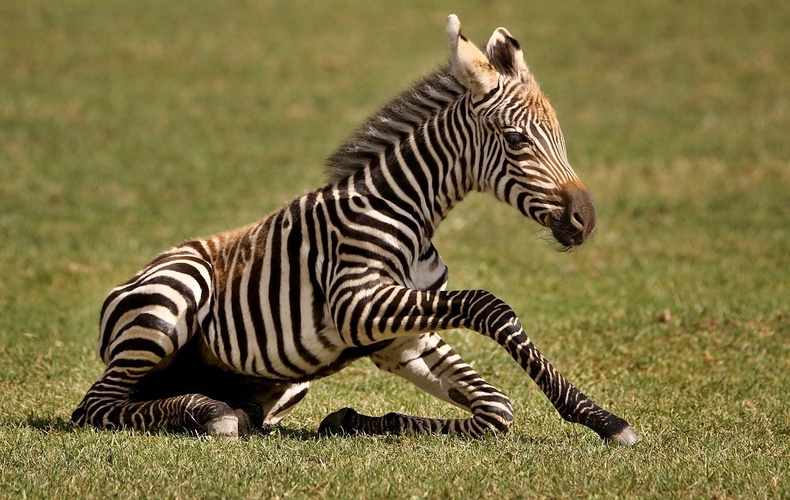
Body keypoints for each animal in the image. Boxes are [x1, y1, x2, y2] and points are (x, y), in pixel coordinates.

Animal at [71, 14, 644, 446]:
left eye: (560, 137)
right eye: (517, 140)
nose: (585, 220)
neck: (406, 207)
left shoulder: (401, 339)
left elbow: (496, 409)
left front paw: (357, 421)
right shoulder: (357, 302)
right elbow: (491, 307)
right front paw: (603, 420)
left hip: (285, 385)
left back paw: (220, 407)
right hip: (177, 294)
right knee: (94, 406)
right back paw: (207, 411)